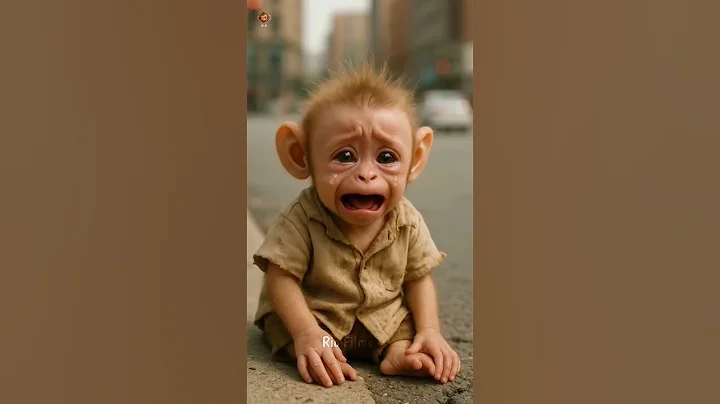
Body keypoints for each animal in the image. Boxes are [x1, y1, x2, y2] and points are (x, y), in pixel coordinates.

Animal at [252, 63, 461, 388]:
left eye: (386, 157)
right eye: (345, 156)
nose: (366, 176)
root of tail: (356, 347)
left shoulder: (415, 222)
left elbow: (420, 280)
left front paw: (432, 343)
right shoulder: (294, 217)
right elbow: (282, 279)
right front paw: (315, 346)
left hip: (393, 321)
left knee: (401, 329)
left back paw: (406, 359)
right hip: (287, 325)